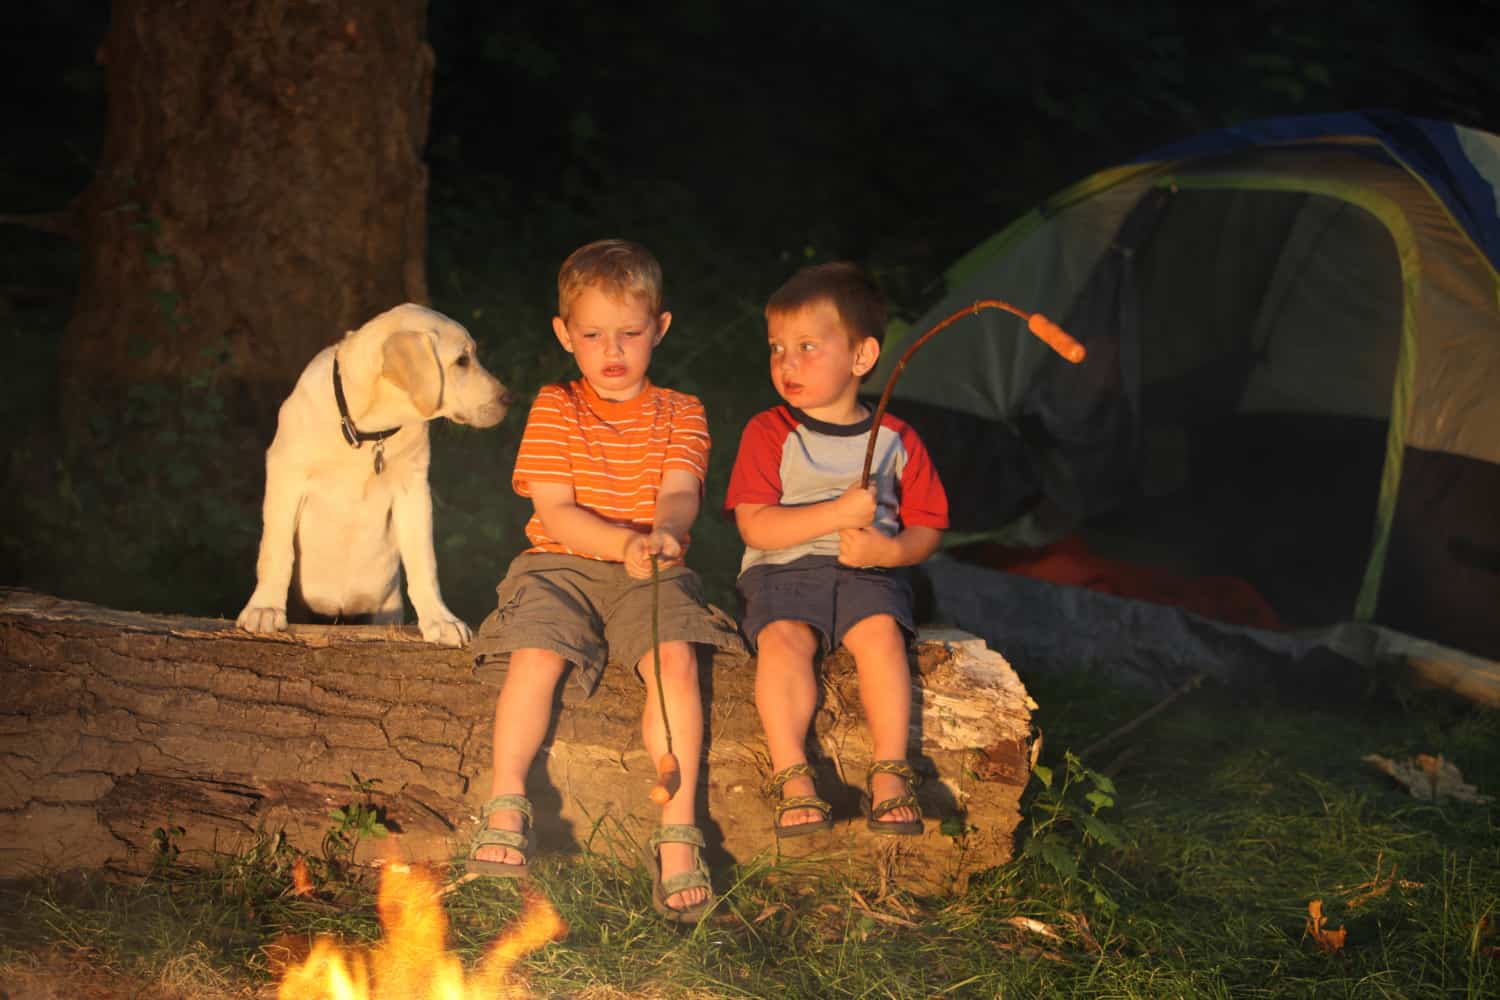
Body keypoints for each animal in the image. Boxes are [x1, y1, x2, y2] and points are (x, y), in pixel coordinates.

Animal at [235, 301, 510, 644]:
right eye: (462, 360)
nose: (508, 399)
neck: (368, 431)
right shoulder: (287, 474)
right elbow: (276, 548)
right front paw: (265, 608)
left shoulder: (413, 490)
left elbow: (424, 560)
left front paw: (440, 619)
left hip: (385, 608)